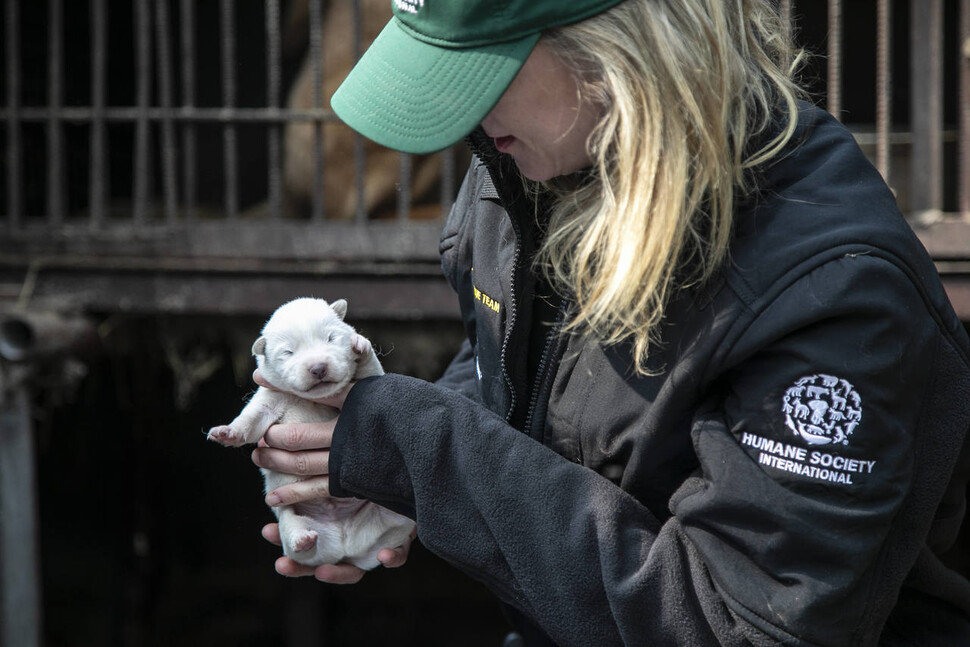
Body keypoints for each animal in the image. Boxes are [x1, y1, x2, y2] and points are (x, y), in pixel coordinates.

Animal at [208, 296, 412, 568]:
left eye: (331, 338)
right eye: (288, 352)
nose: (318, 368)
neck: (317, 399)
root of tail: (346, 548)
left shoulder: (367, 384)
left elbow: (369, 372)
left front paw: (360, 345)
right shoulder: (271, 397)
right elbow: (252, 418)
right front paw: (227, 432)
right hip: (288, 515)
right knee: (290, 524)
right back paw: (302, 539)